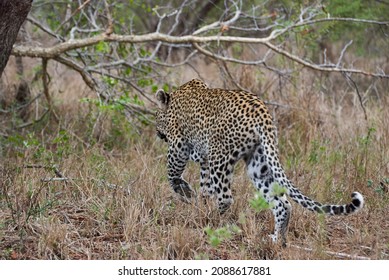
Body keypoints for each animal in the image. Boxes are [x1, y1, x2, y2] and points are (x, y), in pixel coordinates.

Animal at [155, 79, 364, 245]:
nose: (157, 133)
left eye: (155, 116)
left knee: (226, 197)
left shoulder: (178, 145)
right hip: (259, 164)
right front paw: (197, 200)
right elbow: (204, 187)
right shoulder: (204, 159)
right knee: (283, 204)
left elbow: (172, 172)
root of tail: (262, 113)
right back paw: (277, 239)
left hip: (220, 157)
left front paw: (186, 193)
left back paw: (212, 222)